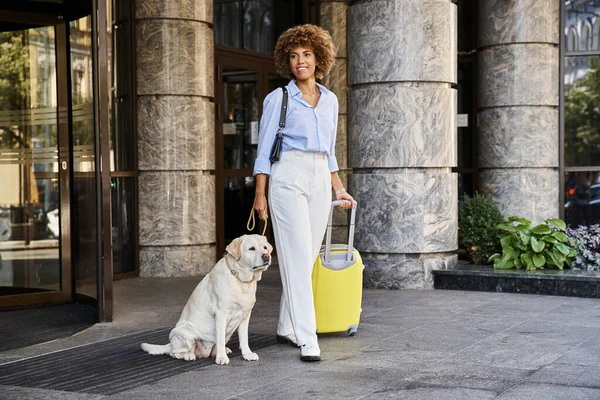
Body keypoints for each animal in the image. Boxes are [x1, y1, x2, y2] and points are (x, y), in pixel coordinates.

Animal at [141, 234, 272, 366]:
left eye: (265, 247)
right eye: (251, 248)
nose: (267, 256)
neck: (241, 280)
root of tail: (170, 344)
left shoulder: (245, 315)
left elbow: (244, 338)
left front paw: (247, 354)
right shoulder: (221, 314)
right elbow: (220, 338)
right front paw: (221, 358)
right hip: (182, 333)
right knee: (174, 352)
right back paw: (188, 355)